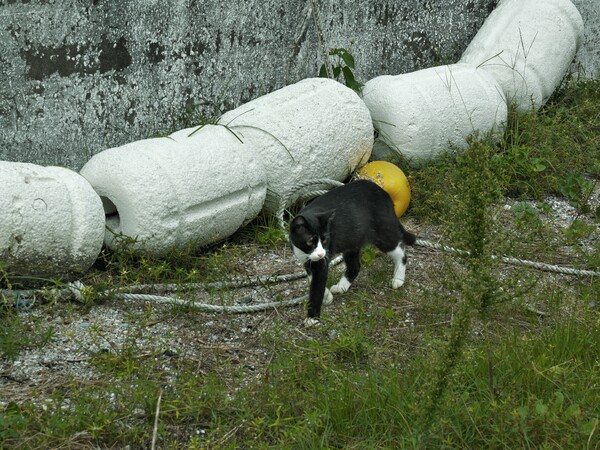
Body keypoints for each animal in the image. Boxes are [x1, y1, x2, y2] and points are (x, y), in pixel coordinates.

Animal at [288, 178, 414, 326]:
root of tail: (384, 193)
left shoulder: (321, 262)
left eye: (325, 240)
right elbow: (311, 278)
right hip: (352, 241)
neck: (305, 252)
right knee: (355, 266)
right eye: (309, 242)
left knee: (400, 251)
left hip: (382, 232)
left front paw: (312, 317)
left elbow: (317, 286)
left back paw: (398, 279)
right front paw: (327, 296)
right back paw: (342, 286)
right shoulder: (307, 261)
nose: (320, 254)